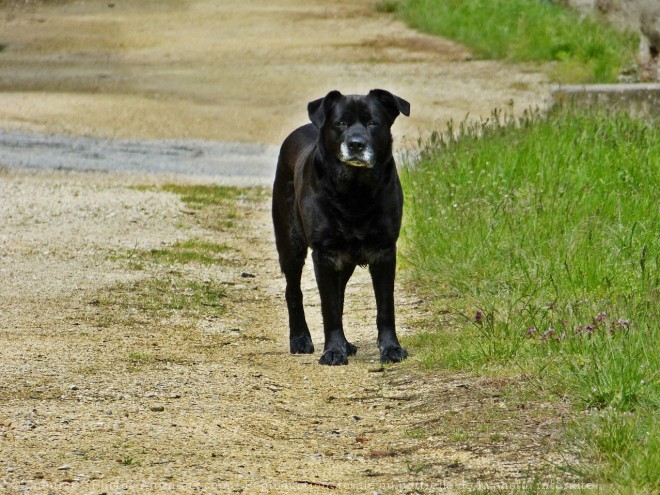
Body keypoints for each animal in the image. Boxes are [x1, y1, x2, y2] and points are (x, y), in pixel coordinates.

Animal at [272, 91, 408, 366]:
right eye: (341, 123)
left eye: (372, 123)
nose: (356, 144)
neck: (355, 190)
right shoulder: (325, 254)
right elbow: (330, 309)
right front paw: (333, 351)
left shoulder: (384, 251)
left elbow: (385, 308)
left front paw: (391, 348)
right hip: (290, 243)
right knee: (293, 291)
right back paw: (300, 339)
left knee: (340, 294)